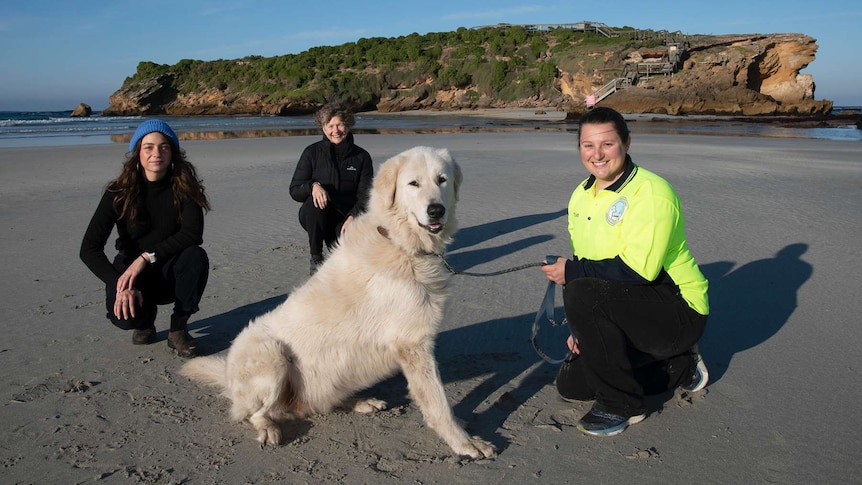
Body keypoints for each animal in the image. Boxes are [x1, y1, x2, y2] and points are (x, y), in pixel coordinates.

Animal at [182, 146, 500, 460]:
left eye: (441, 180)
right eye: (413, 183)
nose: (436, 210)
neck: (401, 244)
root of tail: (227, 372)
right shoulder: (412, 343)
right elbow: (437, 401)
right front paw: (465, 443)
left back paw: (360, 402)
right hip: (271, 355)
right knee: (255, 412)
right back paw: (269, 428)